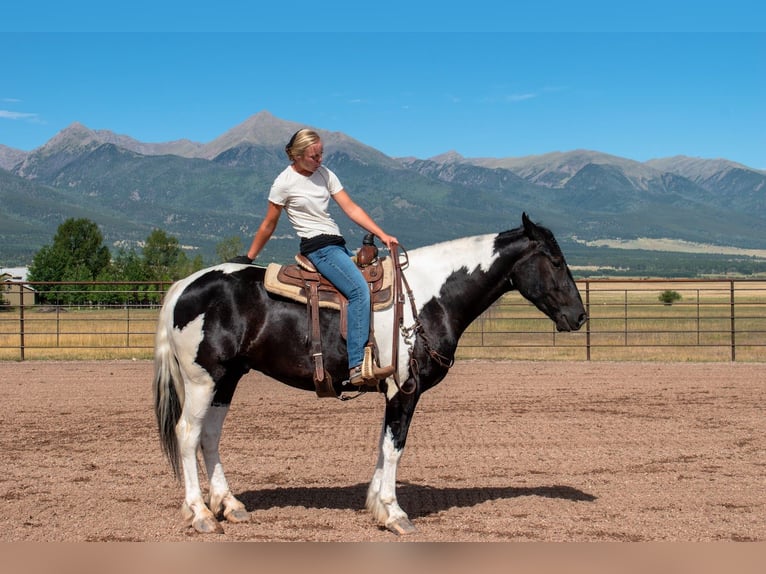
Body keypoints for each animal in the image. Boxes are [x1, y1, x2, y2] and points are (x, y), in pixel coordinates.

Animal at [153, 212, 587, 535]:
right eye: (555, 261)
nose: (579, 317)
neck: (427, 297)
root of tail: (185, 285)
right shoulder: (405, 389)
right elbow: (396, 446)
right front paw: (395, 514)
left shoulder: (391, 391)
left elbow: (383, 445)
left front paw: (377, 506)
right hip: (202, 380)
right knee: (188, 435)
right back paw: (201, 514)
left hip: (227, 379)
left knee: (210, 436)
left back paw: (229, 504)